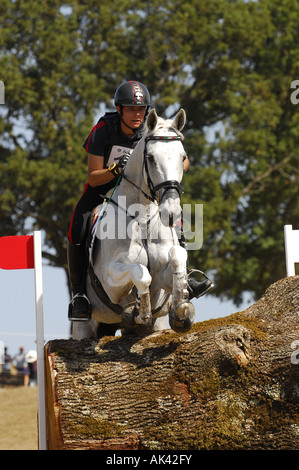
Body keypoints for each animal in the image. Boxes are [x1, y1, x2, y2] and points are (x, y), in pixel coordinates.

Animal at [73, 108, 197, 340]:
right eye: (150, 158)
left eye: (183, 157)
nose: (171, 212)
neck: (143, 219)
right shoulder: (110, 279)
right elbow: (140, 272)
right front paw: (140, 309)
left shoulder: (162, 281)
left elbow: (177, 257)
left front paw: (181, 310)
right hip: (85, 326)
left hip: (157, 325)